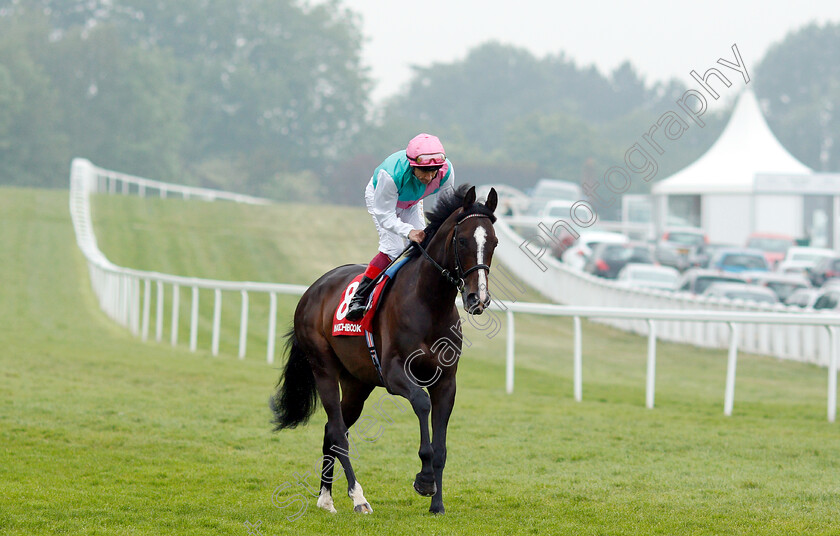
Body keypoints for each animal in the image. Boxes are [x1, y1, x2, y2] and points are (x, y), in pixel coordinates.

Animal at [272, 185, 498, 516]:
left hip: (357, 383)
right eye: (463, 240)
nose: (477, 298)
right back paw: (358, 497)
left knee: (332, 430)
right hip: (323, 367)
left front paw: (437, 504)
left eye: (493, 242)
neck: (429, 304)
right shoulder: (394, 374)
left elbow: (441, 446)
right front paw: (424, 480)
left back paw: (326, 498)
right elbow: (421, 404)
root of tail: (313, 289)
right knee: (337, 430)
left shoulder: (446, 382)